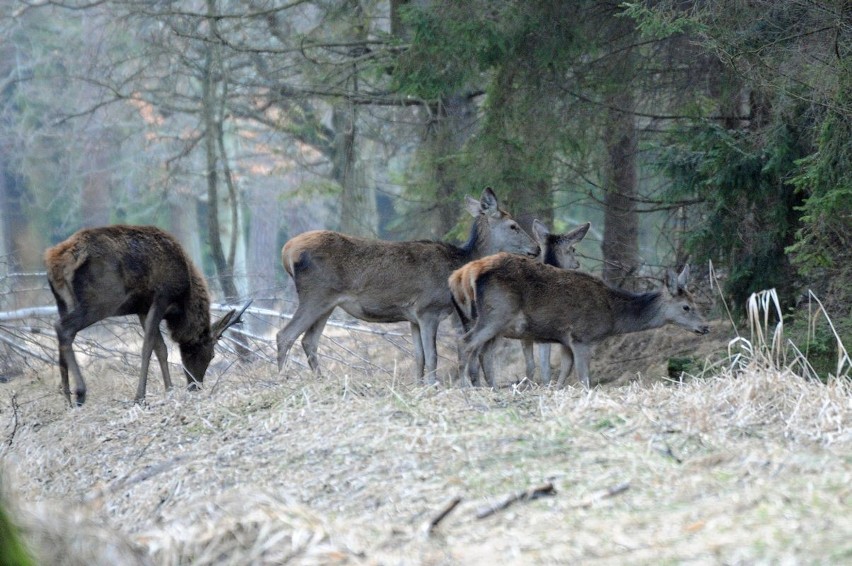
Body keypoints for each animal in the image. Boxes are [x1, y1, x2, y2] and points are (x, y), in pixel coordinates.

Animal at [43, 224, 250, 406]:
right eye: (212, 354)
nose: (195, 386)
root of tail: (57, 261)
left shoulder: (142, 308)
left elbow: (161, 348)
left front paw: (169, 389)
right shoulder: (162, 296)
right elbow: (148, 346)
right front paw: (140, 397)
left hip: (62, 301)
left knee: (61, 331)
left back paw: (67, 397)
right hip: (103, 300)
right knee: (64, 327)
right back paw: (80, 393)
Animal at [274, 189, 540, 384]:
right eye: (513, 225)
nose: (536, 248)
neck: (458, 262)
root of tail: (287, 251)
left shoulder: (412, 317)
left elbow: (419, 356)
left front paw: (419, 384)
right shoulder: (428, 309)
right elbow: (432, 356)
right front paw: (432, 386)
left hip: (327, 303)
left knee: (309, 341)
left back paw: (321, 380)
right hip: (315, 294)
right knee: (285, 335)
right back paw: (282, 379)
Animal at [450, 254, 708, 390]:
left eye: (696, 301)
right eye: (686, 307)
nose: (705, 327)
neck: (612, 315)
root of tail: (467, 273)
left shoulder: (566, 340)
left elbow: (565, 371)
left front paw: (556, 390)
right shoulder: (583, 336)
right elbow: (585, 376)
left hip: (498, 324)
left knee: (483, 353)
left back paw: (491, 388)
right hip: (496, 314)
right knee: (465, 342)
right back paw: (463, 386)